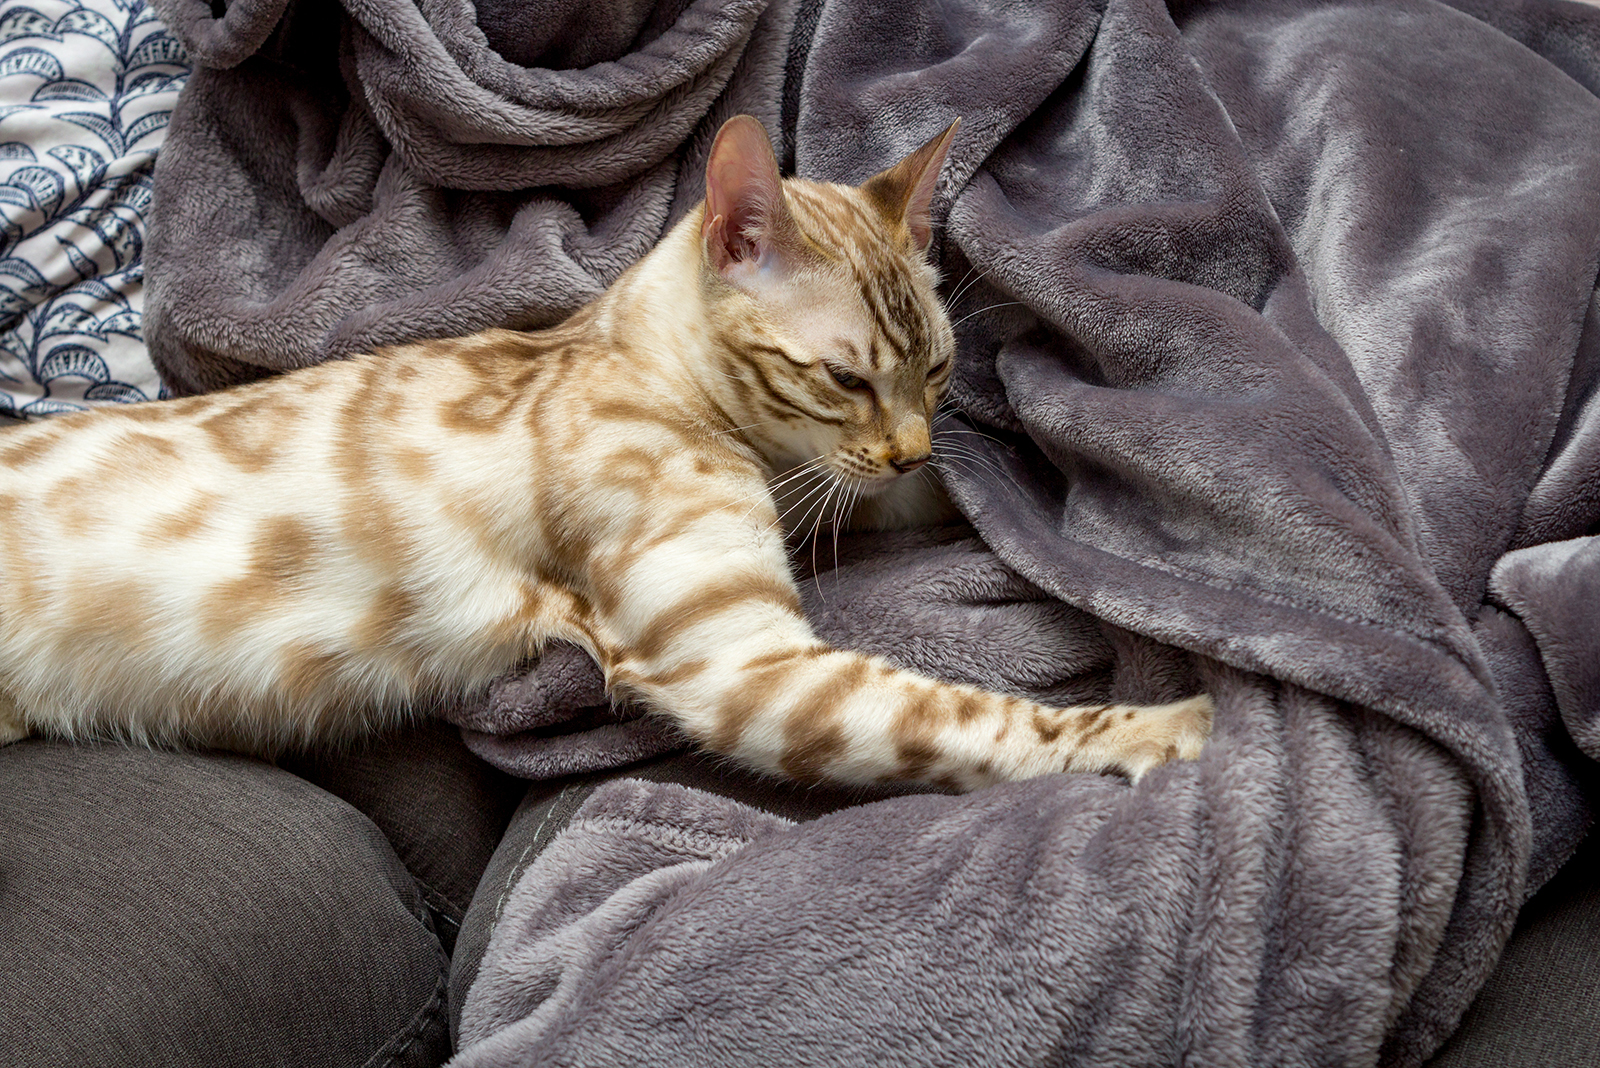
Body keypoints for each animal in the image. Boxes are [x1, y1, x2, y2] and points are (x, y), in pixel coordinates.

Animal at [0, 116, 1203, 789]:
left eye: (940, 372)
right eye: (847, 377)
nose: (907, 444)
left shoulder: (829, 496)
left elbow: (940, 501)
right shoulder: (738, 660)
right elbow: (976, 717)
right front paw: (1178, 727)